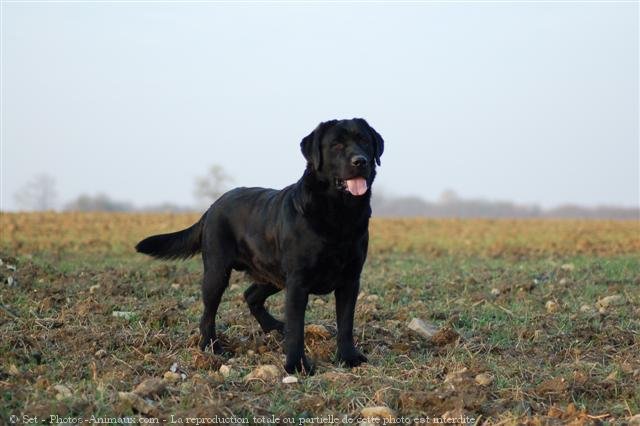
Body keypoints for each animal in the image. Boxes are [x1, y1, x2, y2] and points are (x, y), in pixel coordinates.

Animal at [135, 117, 382, 372]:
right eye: (336, 145)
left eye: (364, 140)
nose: (360, 161)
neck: (340, 214)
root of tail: (212, 206)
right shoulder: (298, 282)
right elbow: (297, 328)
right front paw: (296, 365)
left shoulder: (350, 280)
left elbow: (345, 323)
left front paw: (349, 357)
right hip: (217, 272)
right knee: (208, 314)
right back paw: (212, 349)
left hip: (271, 274)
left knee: (250, 295)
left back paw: (273, 327)